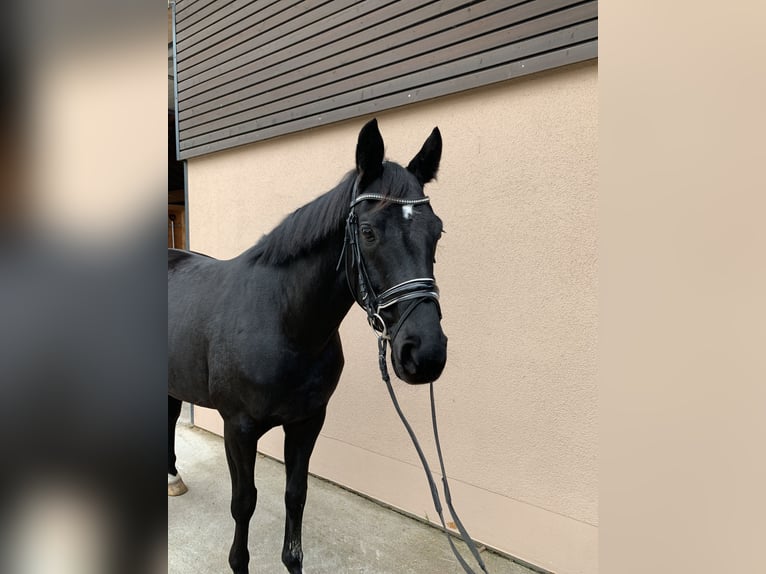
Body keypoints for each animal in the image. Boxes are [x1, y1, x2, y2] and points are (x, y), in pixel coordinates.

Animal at [167, 119, 444, 572]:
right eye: (368, 232)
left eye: (437, 230)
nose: (425, 353)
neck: (283, 325)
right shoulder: (238, 428)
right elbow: (244, 502)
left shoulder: (308, 422)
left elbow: (296, 497)